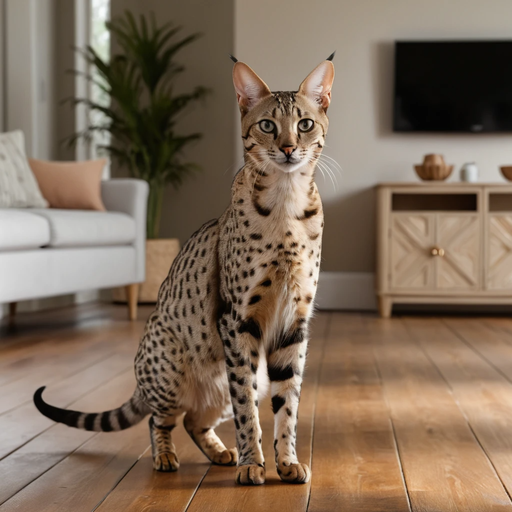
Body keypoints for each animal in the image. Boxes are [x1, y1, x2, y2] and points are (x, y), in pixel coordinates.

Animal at [34, 54, 334, 486]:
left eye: (305, 124)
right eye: (267, 126)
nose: (290, 148)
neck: (286, 205)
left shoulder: (294, 322)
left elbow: (288, 406)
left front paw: (286, 462)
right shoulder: (237, 320)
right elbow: (248, 410)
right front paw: (253, 464)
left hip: (224, 381)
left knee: (196, 420)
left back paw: (221, 453)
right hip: (170, 365)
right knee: (160, 420)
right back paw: (167, 457)